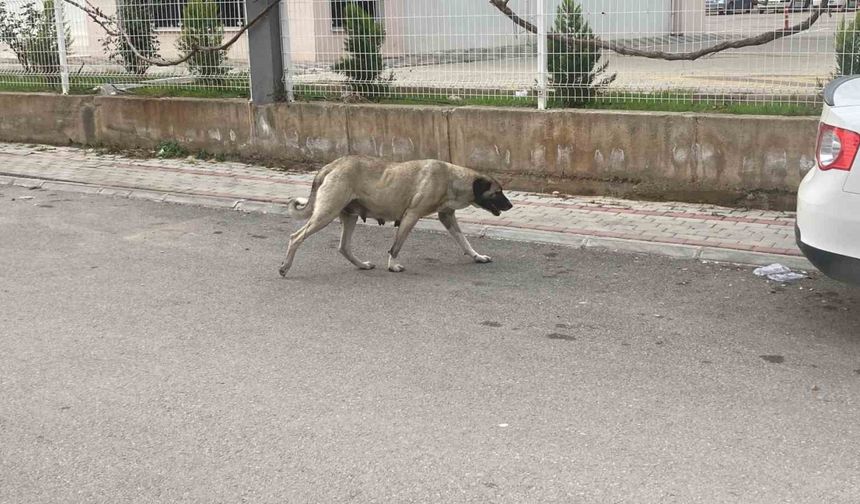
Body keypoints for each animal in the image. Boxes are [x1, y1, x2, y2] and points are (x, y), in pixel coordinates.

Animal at [280, 157, 510, 276]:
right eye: (497, 192)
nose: (510, 205)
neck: (452, 178)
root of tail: (332, 165)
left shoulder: (447, 217)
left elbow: (464, 242)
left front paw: (477, 256)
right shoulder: (411, 216)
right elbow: (396, 247)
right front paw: (392, 265)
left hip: (349, 216)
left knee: (344, 247)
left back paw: (362, 265)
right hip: (325, 214)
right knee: (295, 237)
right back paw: (285, 267)